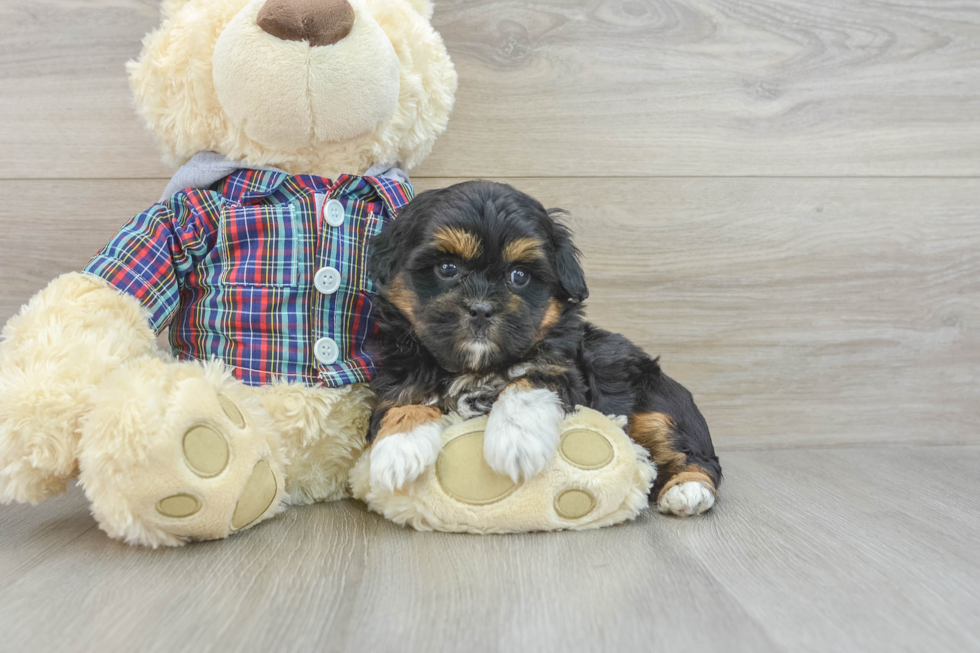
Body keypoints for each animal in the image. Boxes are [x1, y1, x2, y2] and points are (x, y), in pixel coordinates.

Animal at [366, 180, 720, 516]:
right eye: (447, 269)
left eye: (519, 275)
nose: (481, 309)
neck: (478, 366)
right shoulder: (404, 361)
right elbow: (402, 395)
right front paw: (397, 449)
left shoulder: (562, 371)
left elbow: (529, 382)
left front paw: (517, 443)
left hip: (658, 400)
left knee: (687, 447)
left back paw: (689, 490)